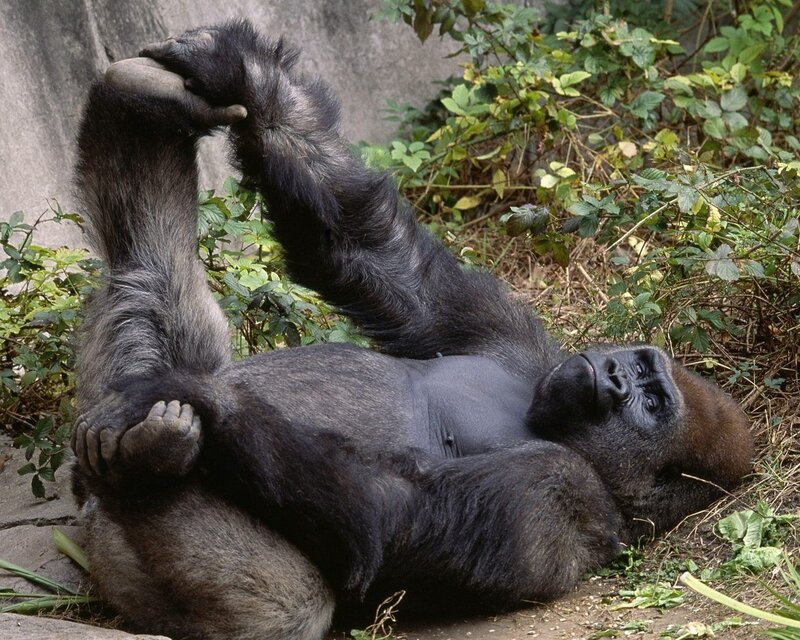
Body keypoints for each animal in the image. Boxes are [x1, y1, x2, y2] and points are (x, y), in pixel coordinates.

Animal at [70, 20, 753, 640]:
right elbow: (374, 254)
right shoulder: (516, 338)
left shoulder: (568, 496)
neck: (543, 418)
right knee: (147, 277)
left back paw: (149, 462)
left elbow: (386, 513)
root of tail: (92, 544)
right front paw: (241, 72)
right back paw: (136, 102)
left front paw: (204, 400)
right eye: (640, 369)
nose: (613, 377)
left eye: (652, 404)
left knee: (288, 607)